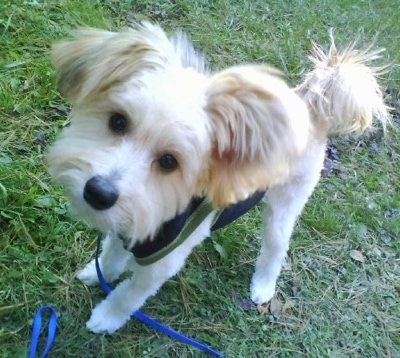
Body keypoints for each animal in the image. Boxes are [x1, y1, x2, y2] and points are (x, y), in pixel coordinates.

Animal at [47, 22, 388, 334]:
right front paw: (99, 272)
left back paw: (263, 285)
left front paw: (108, 316)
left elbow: (130, 294)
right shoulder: (134, 221)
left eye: (169, 161)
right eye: (118, 122)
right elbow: (112, 253)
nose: (99, 192)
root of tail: (309, 105)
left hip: (284, 207)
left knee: (276, 248)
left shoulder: (161, 260)